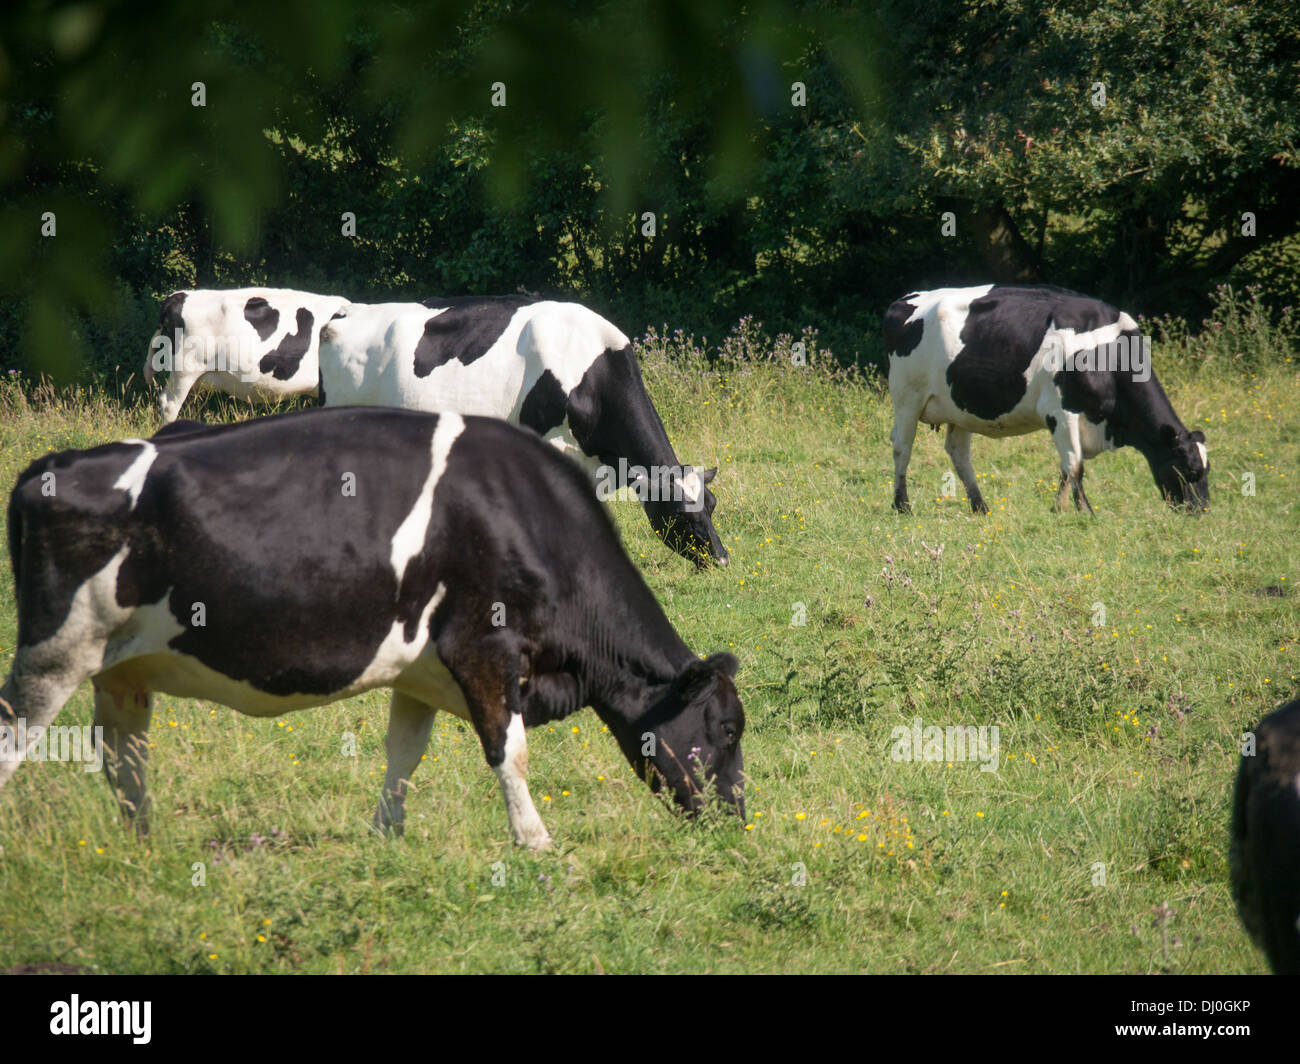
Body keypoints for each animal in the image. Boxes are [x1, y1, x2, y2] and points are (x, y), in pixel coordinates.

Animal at [0, 408, 746, 851]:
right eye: (728, 728)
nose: (737, 821)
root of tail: (51, 465)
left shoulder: (420, 666)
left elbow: (404, 752)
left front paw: (388, 836)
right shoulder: (484, 646)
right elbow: (510, 752)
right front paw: (536, 844)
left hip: (119, 667)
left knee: (124, 760)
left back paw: (145, 851)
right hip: (53, 654)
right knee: (17, 738)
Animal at [884, 284, 1209, 515]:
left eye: (1206, 471)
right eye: (1190, 471)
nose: (1200, 511)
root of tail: (904, 300)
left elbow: (1066, 467)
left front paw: (1059, 508)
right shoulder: (1060, 411)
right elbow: (1075, 464)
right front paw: (1084, 512)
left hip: (959, 407)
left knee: (958, 453)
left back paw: (980, 507)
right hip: (907, 398)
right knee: (902, 448)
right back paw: (902, 505)